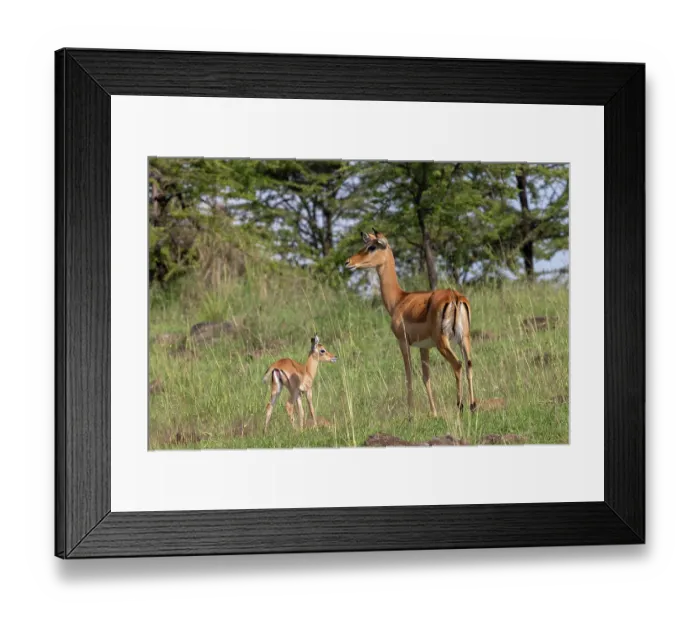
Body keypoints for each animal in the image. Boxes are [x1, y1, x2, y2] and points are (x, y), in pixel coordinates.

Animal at [345, 229, 476, 416]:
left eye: (371, 247)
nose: (348, 262)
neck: (399, 300)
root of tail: (455, 297)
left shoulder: (403, 341)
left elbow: (409, 376)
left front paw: (410, 414)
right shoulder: (424, 346)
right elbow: (426, 376)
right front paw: (433, 413)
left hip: (442, 342)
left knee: (457, 365)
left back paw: (460, 406)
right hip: (464, 338)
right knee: (469, 365)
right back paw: (473, 406)